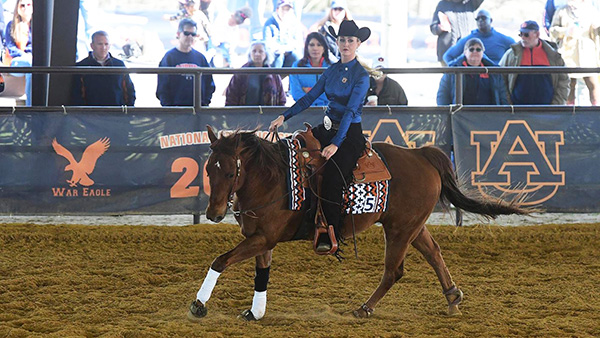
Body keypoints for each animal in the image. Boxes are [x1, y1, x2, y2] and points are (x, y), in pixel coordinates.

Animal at [189, 125, 528, 320]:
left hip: (399, 230)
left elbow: (220, 261)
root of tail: (422, 155)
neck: (273, 180)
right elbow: (262, 273)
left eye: (230, 172)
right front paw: (255, 312)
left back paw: (365, 308)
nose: (214, 213)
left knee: (394, 271)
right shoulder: (260, 237)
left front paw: (199, 305)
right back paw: (453, 298)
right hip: (412, 226)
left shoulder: (264, 237)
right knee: (434, 253)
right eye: (207, 169)